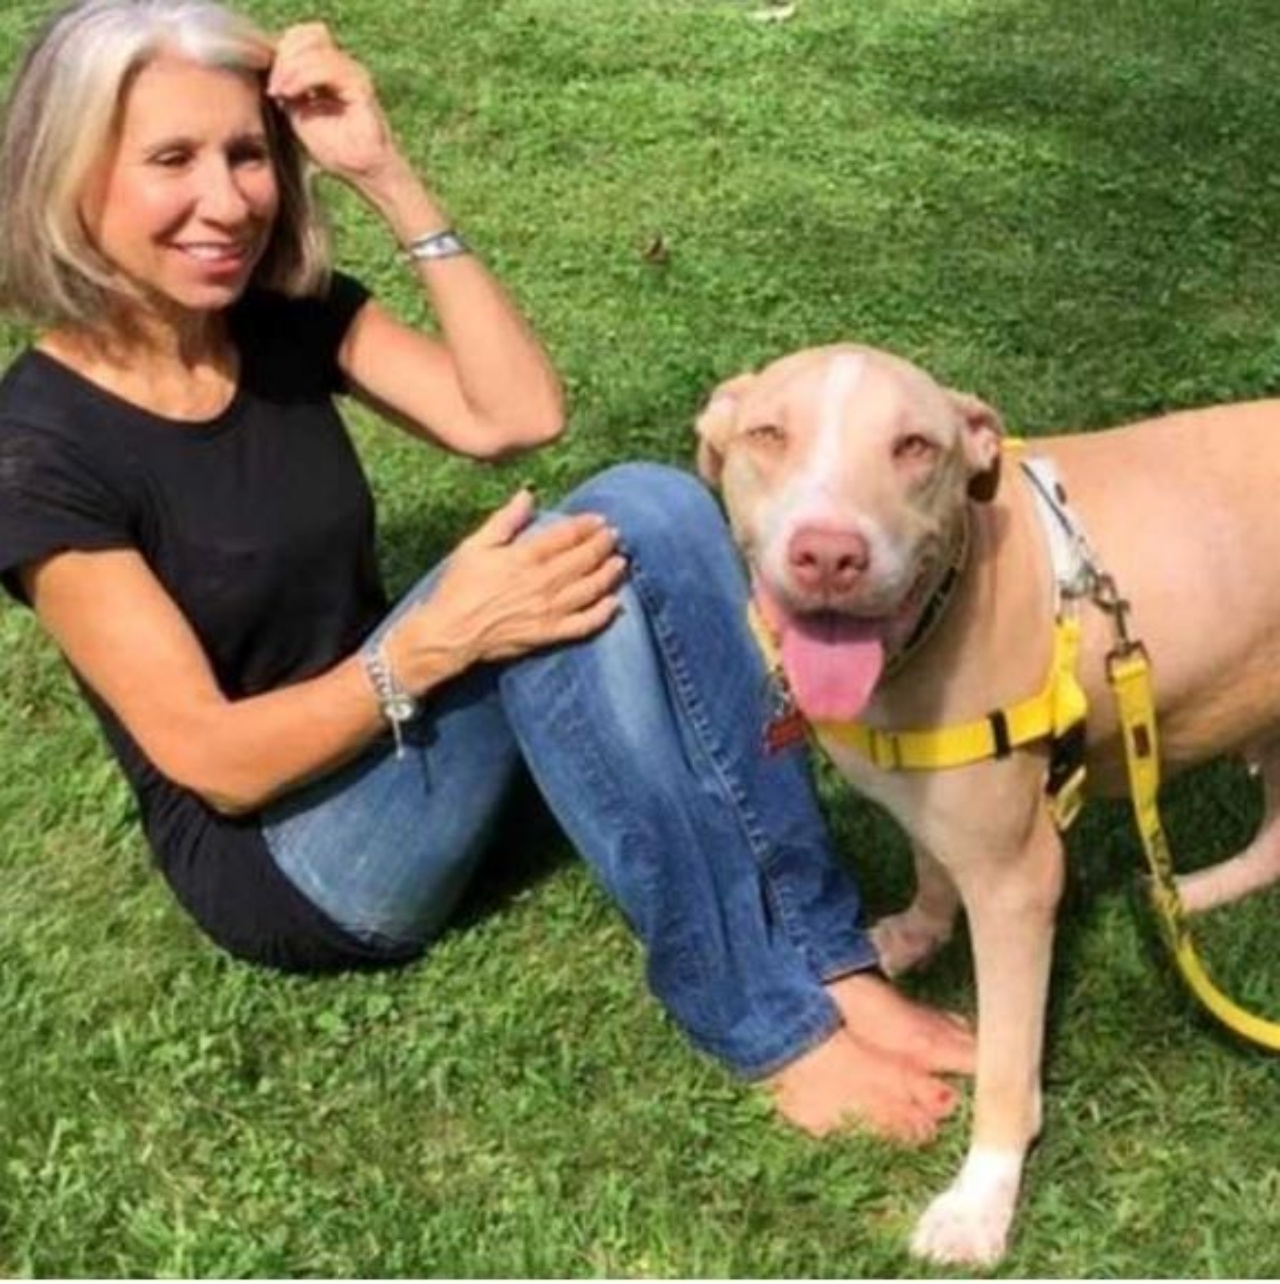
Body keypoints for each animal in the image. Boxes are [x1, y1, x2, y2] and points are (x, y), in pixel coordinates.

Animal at [693, 338, 1278, 1263]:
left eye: (913, 447)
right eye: (768, 435)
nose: (829, 554)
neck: (942, 608)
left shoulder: (1017, 882)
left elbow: (1006, 1065)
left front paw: (980, 1201)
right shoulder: (927, 795)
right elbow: (932, 865)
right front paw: (917, 931)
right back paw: (1189, 893)